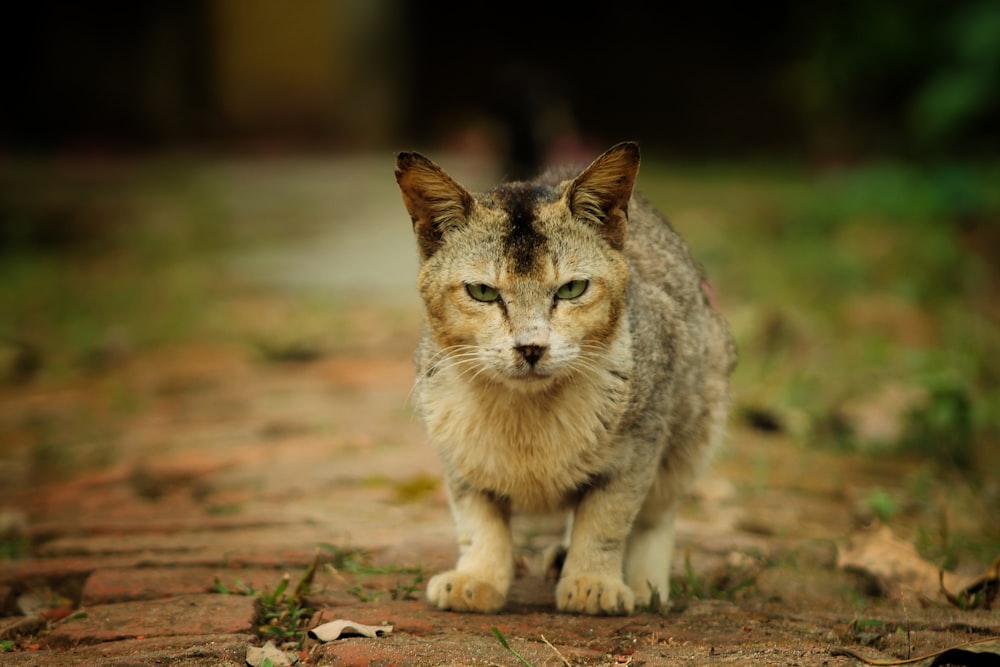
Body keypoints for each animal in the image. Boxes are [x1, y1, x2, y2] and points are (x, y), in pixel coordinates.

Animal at [396, 141, 736, 616]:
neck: (528, 416)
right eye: (482, 292)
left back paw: (645, 584)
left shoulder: (640, 445)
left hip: (698, 418)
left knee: (657, 514)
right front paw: (478, 577)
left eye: (572, 289)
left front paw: (593, 581)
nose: (531, 347)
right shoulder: (456, 453)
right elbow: (477, 519)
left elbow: (607, 520)